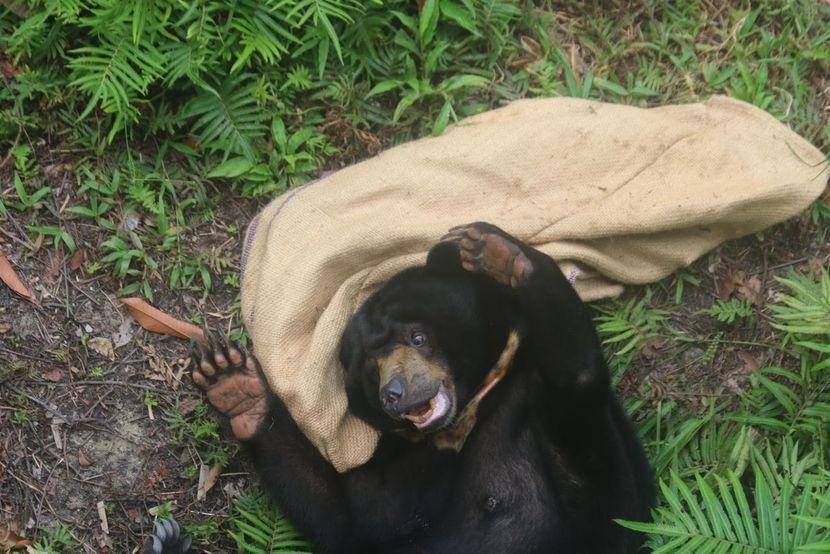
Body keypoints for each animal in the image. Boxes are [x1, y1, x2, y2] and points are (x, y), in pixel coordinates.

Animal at [190, 222, 656, 548]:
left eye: (417, 337)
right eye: (371, 367)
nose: (393, 396)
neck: (477, 398)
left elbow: (581, 390)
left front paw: (500, 254)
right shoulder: (397, 462)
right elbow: (353, 516)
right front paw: (236, 386)